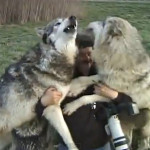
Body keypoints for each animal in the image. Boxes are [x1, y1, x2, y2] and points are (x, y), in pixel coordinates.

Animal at [63, 17, 150, 149]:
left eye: (104, 22)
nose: (90, 22)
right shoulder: (106, 75)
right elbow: (89, 78)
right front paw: (74, 87)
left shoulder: (123, 98)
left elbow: (87, 97)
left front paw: (71, 106)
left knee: (145, 141)